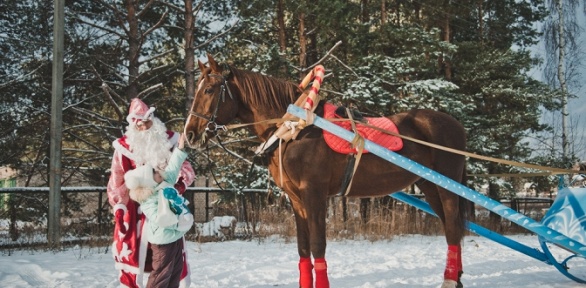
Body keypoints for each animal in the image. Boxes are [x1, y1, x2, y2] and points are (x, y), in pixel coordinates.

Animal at [185, 54, 468, 288]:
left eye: (209, 89)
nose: (190, 133)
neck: (294, 130)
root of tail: (455, 124)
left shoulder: (315, 195)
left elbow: (318, 245)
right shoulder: (297, 200)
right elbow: (303, 248)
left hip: (446, 187)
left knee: (454, 227)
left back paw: (450, 280)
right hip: (430, 186)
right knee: (450, 227)